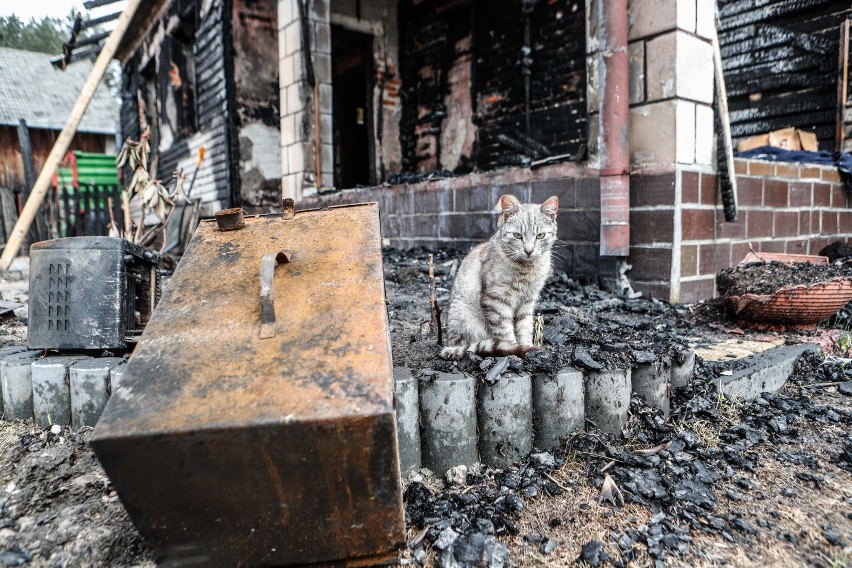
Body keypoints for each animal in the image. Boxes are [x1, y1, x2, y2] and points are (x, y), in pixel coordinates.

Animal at [440, 195, 560, 360]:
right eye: (517, 236)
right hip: (464, 317)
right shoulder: (496, 300)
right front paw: (514, 351)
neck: (528, 268)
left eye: (540, 236)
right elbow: (505, 331)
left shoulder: (528, 301)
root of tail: (449, 344)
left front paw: (527, 346)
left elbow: (525, 327)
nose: (529, 250)